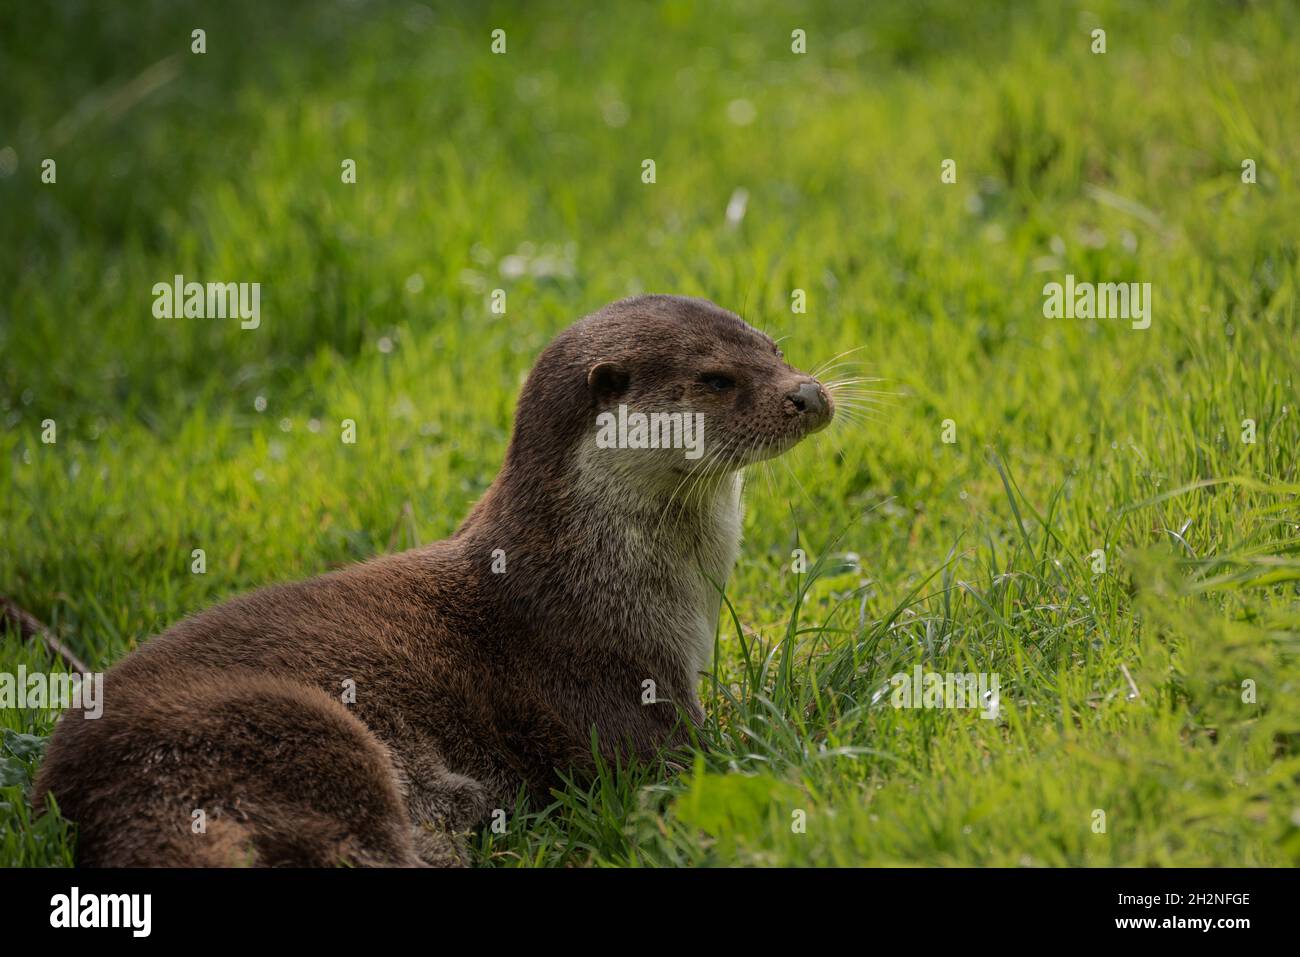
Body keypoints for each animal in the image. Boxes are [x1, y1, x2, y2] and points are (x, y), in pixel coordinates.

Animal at [35, 293, 832, 868]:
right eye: (717, 379)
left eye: (774, 347)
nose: (810, 394)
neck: (592, 576)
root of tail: (80, 781)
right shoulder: (604, 677)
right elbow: (687, 759)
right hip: (293, 724)